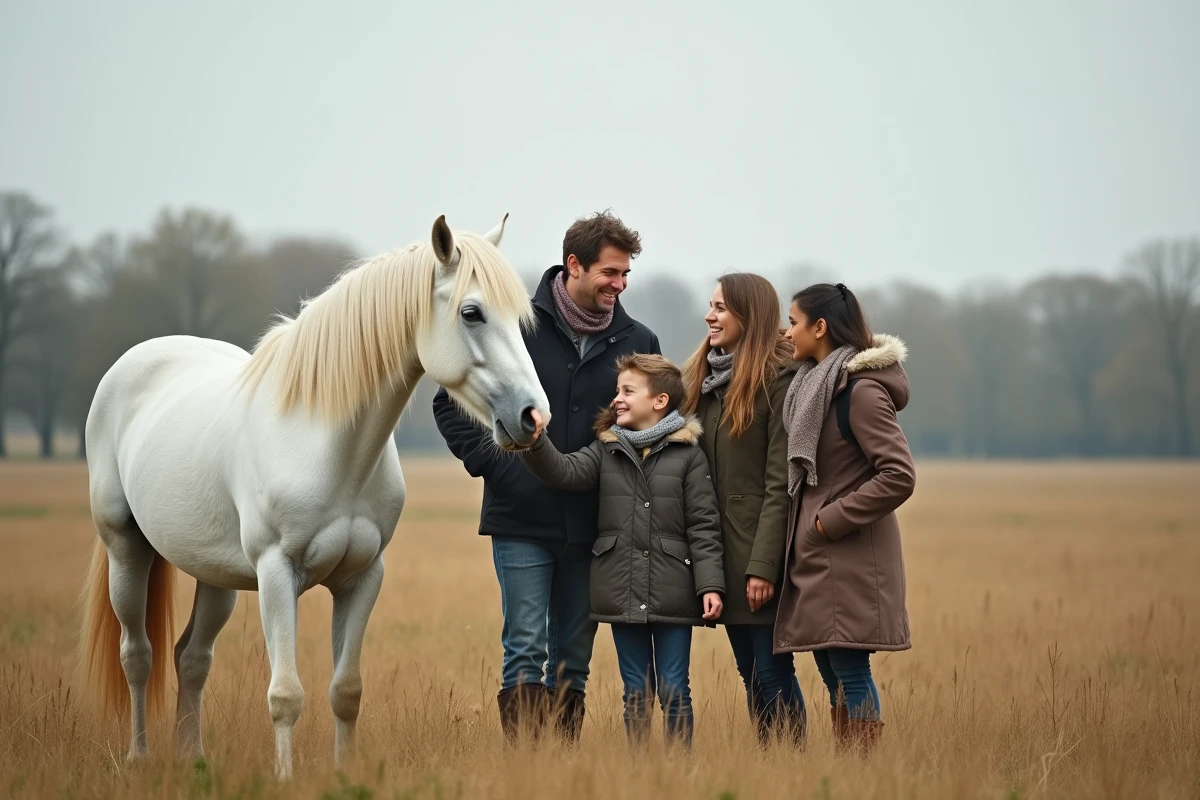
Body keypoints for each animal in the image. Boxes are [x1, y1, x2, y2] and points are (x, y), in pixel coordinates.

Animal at [80, 214, 549, 778]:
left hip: (214, 574)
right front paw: (285, 778)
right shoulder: (276, 573)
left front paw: (344, 773)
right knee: (138, 654)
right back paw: (139, 755)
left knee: (190, 658)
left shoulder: (362, 578)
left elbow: (346, 691)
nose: (533, 416)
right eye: (471, 312)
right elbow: (285, 694)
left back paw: (193, 758)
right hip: (126, 550)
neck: (329, 446)